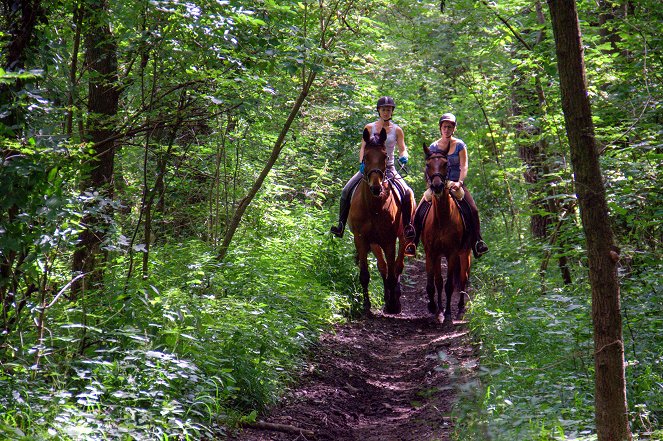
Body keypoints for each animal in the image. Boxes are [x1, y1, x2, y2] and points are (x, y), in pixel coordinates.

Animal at [350, 126, 412, 312]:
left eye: (385, 156)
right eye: (365, 157)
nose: (376, 187)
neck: (374, 208)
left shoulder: (389, 240)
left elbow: (392, 272)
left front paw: (392, 305)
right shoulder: (362, 239)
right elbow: (365, 274)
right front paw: (367, 305)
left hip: (404, 236)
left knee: (398, 266)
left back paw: (395, 299)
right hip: (374, 243)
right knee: (383, 266)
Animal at [420, 145, 472, 324]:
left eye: (445, 164)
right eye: (428, 164)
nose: (437, 186)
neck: (442, 218)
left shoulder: (453, 253)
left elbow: (450, 285)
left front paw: (448, 314)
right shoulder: (431, 253)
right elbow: (434, 284)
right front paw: (435, 309)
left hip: (465, 253)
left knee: (463, 279)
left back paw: (460, 309)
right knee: (440, 281)